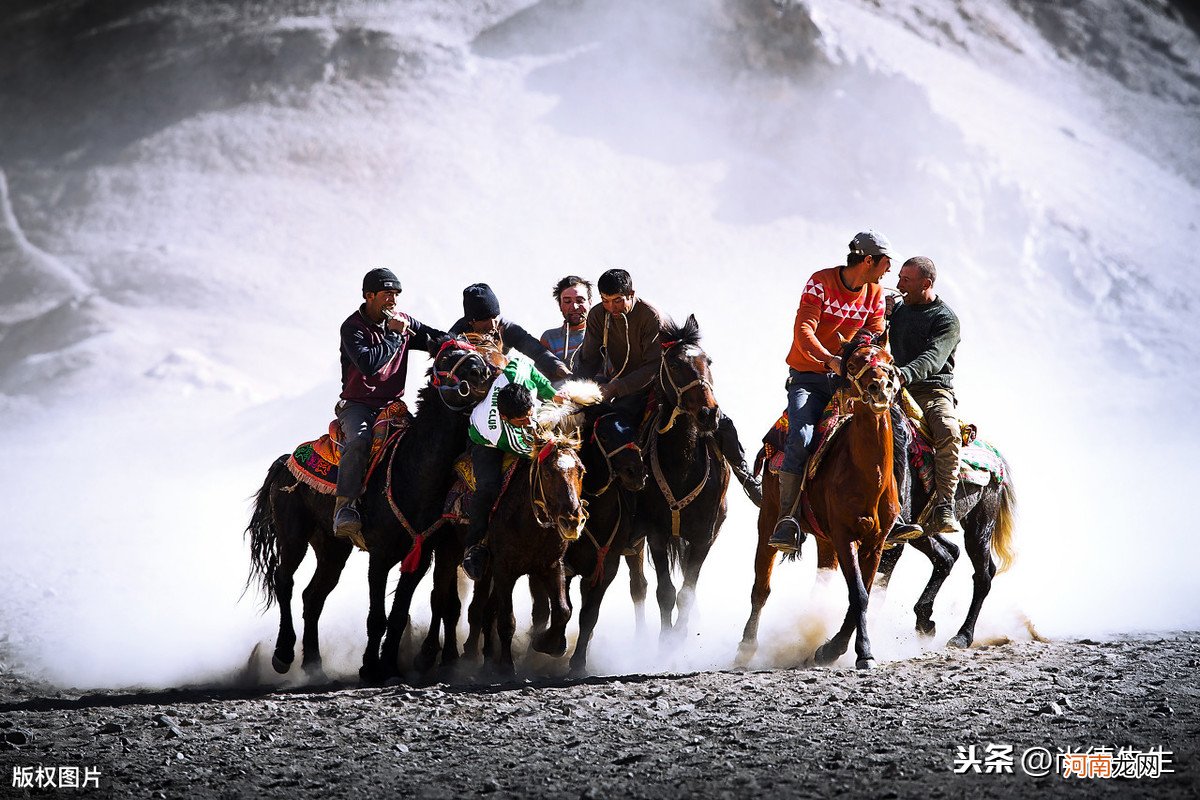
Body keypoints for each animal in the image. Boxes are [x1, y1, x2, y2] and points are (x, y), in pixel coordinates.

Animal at [243, 335, 492, 681]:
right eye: (445, 358)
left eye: (476, 354)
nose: (481, 370)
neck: (412, 471)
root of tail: (284, 462)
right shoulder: (381, 555)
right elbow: (377, 617)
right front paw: (371, 667)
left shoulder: (420, 556)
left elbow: (398, 615)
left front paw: (390, 667)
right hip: (293, 535)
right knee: (285, 581)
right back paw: (283, 654)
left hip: (332, 547)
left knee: (313, 596)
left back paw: (314, 664)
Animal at [628, 314, 729, 642]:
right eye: (673, 365)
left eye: (707, 360)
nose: (709, 413)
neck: (682, 466)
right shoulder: (656, 534)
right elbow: (666, 592)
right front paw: (664, 642)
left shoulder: (703, 536)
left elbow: (687, 592)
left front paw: (678, 641)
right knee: (639, 585)